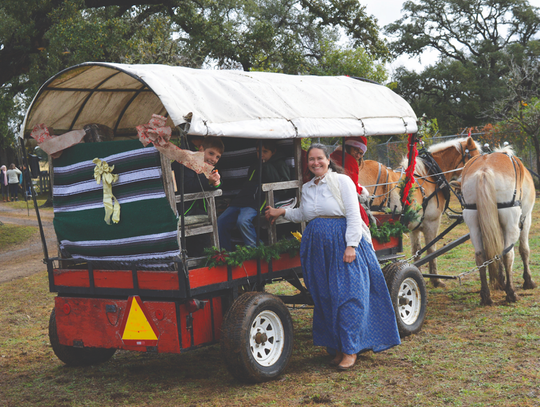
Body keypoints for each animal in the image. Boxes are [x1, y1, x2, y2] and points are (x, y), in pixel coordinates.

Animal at [360, 137, 478, 286]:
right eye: (474, 157)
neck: (431, 175)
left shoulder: (414, 227)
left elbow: (416, 251)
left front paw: (419, 273)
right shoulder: (432, 222)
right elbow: (431, 250)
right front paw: (435, 280)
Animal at [460, 147, 536, 306]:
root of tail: (484, 169)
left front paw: (501, 281)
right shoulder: (526, 219)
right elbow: (524, 250)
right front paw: (528, 281)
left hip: (473, 224)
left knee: (480, 256)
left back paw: (486, 295)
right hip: (512, 223)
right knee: (508, 254)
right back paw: (511, 293)